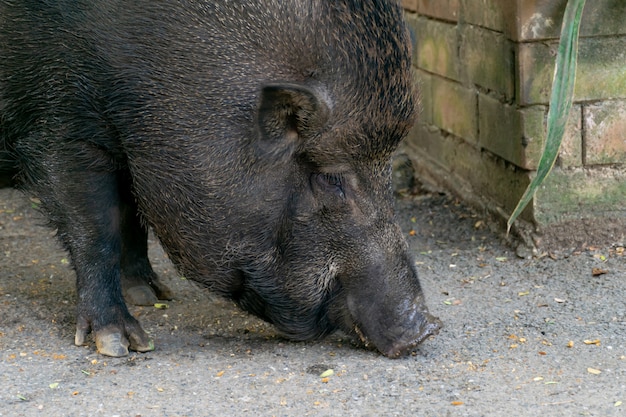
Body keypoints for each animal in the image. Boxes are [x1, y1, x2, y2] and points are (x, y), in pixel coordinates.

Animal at [0, 0, 438, 358]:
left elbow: (132, 217)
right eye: (333, 178)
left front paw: (154, 295)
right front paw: (123, 345)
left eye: (388, 167)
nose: (426, 330)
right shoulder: (59, 128)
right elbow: (97, 232)